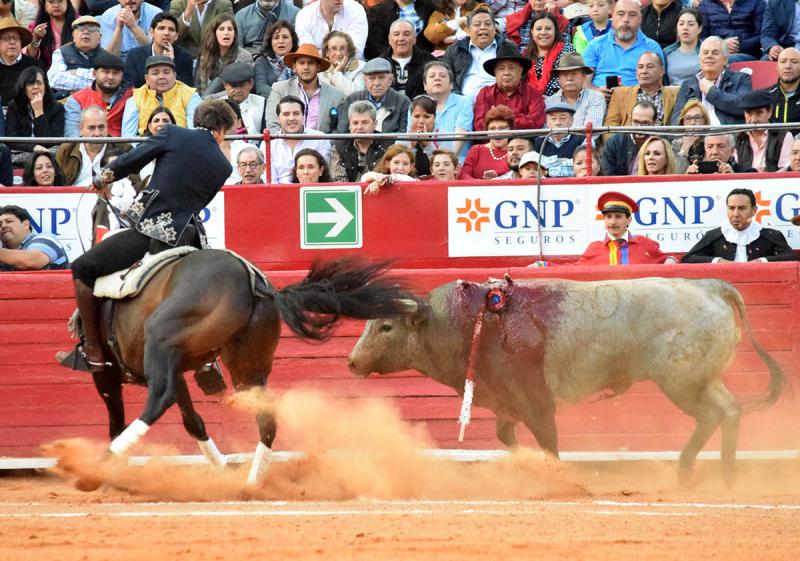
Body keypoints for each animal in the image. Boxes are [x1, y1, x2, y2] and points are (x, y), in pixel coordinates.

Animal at [71, 251, 413, 490]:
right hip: (247, 369)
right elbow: (193, 421)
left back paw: (94, 469)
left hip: (161, 340)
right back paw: (251, 483)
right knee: (267, 418)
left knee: (158, 399)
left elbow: (117, 419)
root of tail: (256, 285)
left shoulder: (109, 375)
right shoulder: (177, 369)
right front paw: (222, 469)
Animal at [347, 276, 786, 482]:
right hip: (704, 380)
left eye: (386, 326)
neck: (469, 322)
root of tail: (708, 285)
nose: (351, 362)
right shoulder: (506, 401)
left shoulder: (534, 400)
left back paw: (695, 470)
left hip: (682, 382)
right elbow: (507, 436)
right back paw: (719, 474)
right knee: (729, 411)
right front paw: (527, 465)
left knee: (713, 415)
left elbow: (548, 441)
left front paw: (557, 477)